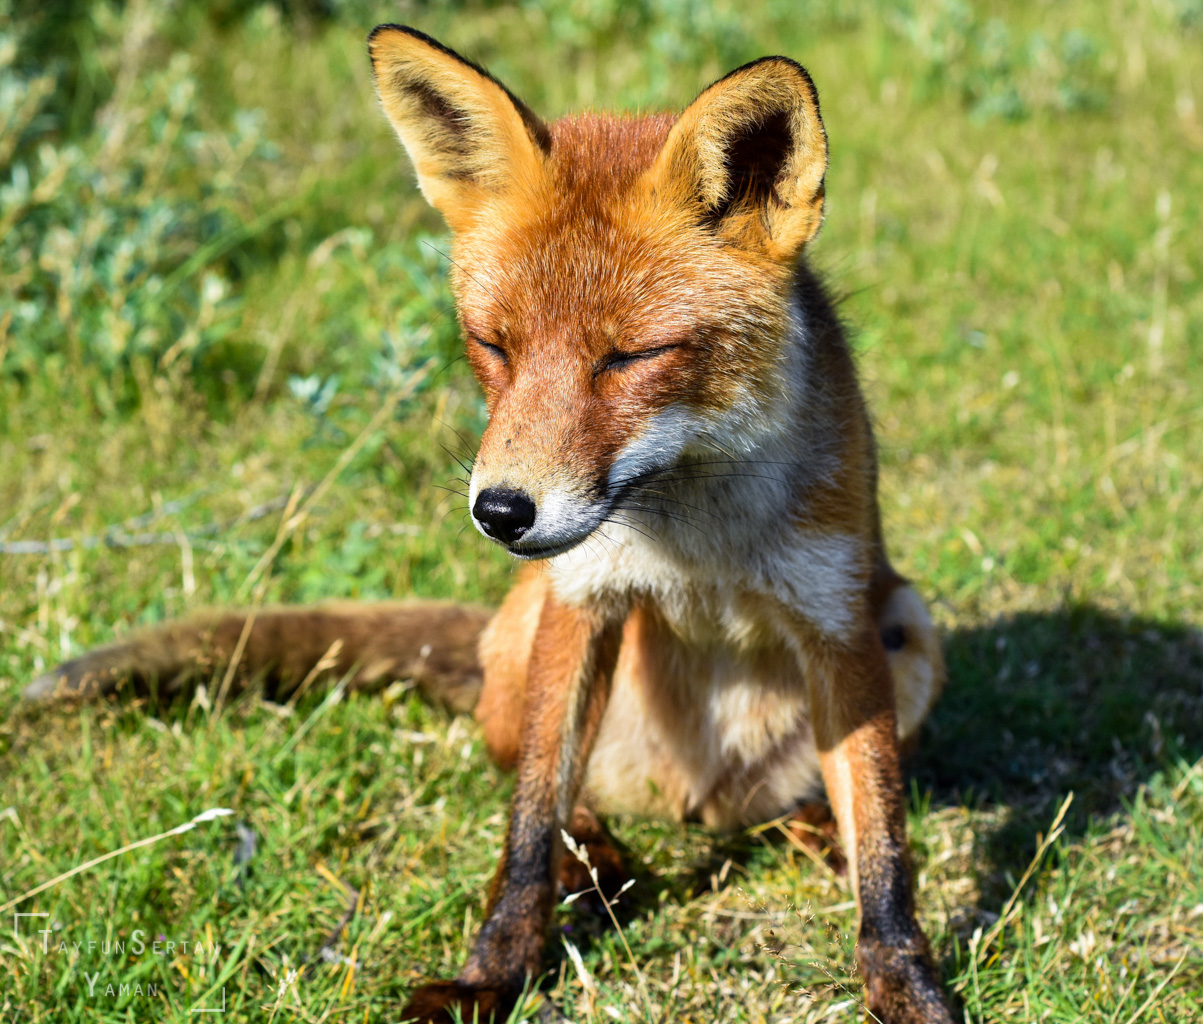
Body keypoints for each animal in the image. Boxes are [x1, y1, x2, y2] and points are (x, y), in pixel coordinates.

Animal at [24, 25, 955, 1024]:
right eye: (492, 344)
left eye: (629, 357)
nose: (501, 511)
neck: (697, 536)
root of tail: (696, 805)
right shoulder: (580, 601)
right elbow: (526, 830)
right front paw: (491, 975)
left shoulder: (836, 621)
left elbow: (885, 849)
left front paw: (904, 983)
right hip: (522, 634)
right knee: (549, 790)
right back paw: (602, 858)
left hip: (908, 626)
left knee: (816, 804)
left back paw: (810, 829)